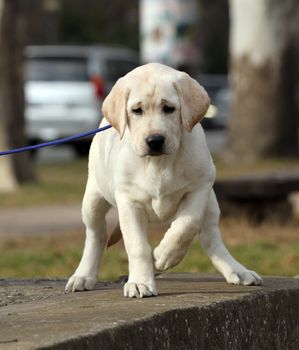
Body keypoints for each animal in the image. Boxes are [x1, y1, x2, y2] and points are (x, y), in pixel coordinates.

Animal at [65, 63, 262, 298]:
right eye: (137, 110)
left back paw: (237, 270)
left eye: (169, 108)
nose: (155, 141)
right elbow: (138, 246)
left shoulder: (200, 187)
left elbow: (186, 225)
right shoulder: (129, 202)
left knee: (210, 238)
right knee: (96, 235)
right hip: (93, 199)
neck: (158, 163)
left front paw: (164, 256)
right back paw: (83, 275)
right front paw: (140, 282)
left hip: (212, 204)